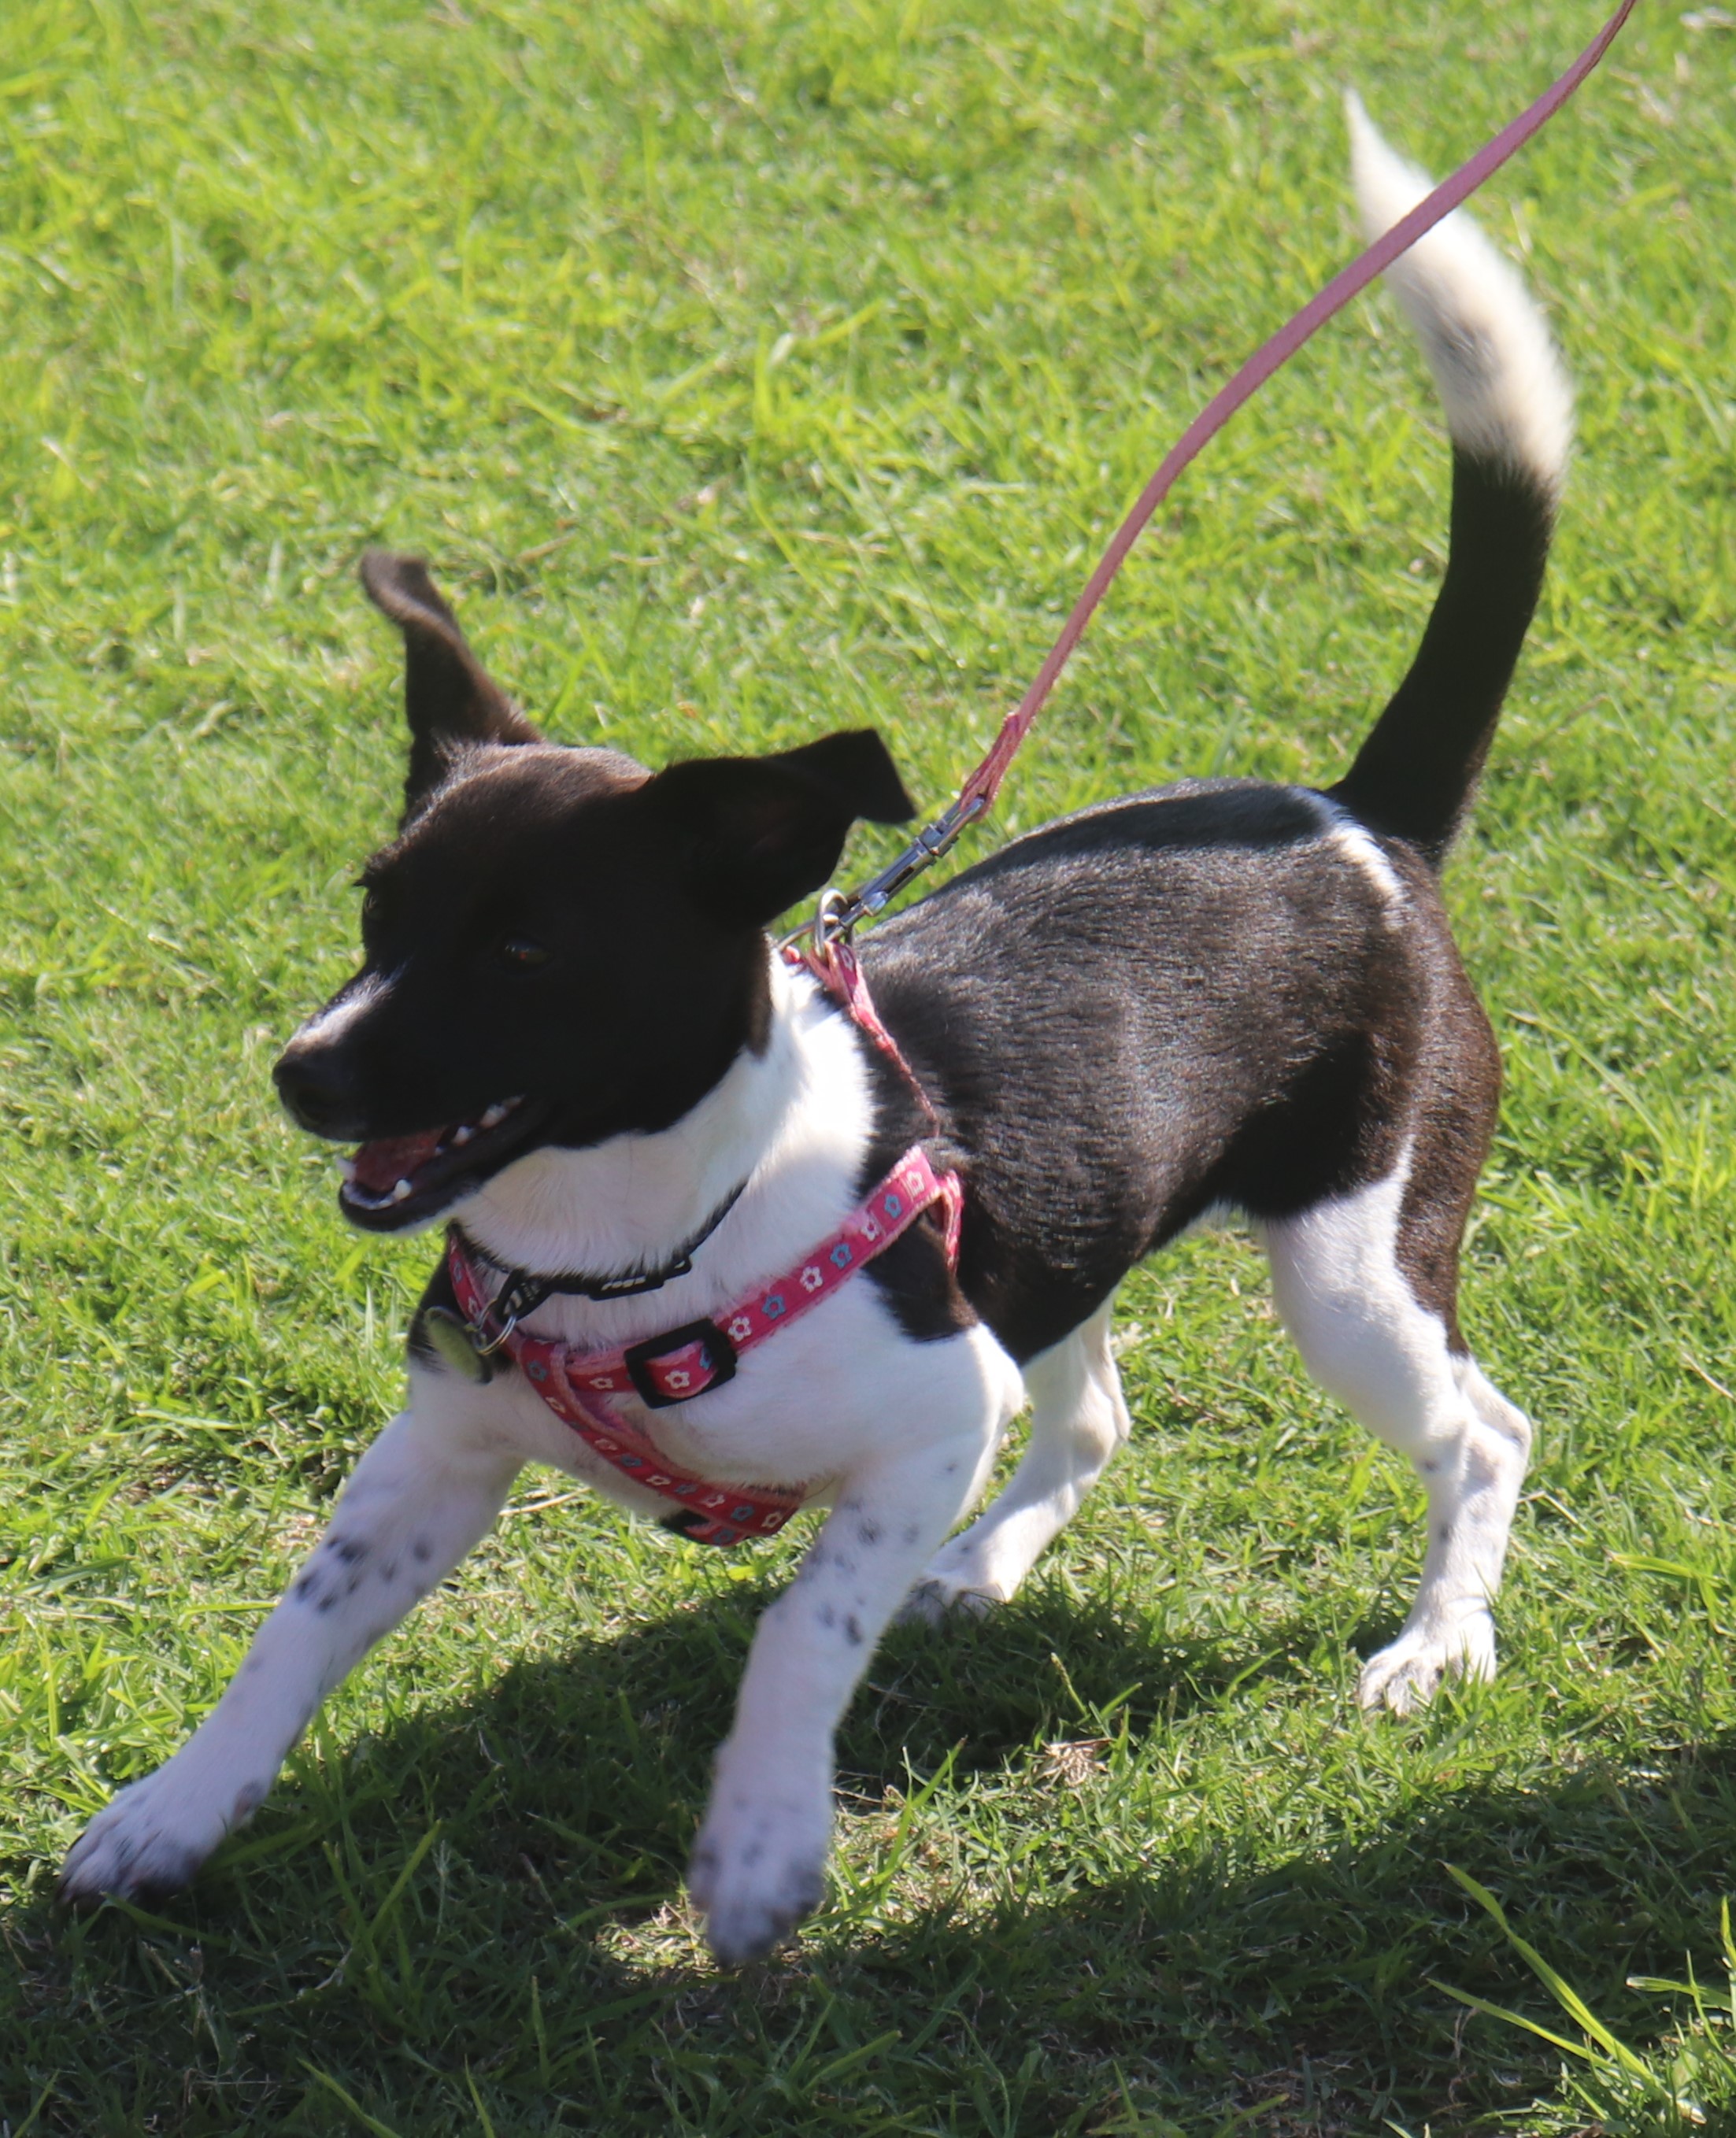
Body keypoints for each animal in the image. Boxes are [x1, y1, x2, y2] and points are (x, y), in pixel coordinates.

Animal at [62, 105, 1568, 1964]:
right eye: (376, 907)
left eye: (525, 948)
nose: (303, 1070)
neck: (632, 1245)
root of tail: (1356, 817)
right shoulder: (437, 1455)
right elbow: (291, 1629)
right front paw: (170, 1814)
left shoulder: (925, 1409)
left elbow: (798, 1623)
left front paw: (765, 1841)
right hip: (1053, 1233)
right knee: (1088, 1411)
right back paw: (980, 1566)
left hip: (1353, 1269)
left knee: (1482, 1429)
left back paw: (1437, 1639)